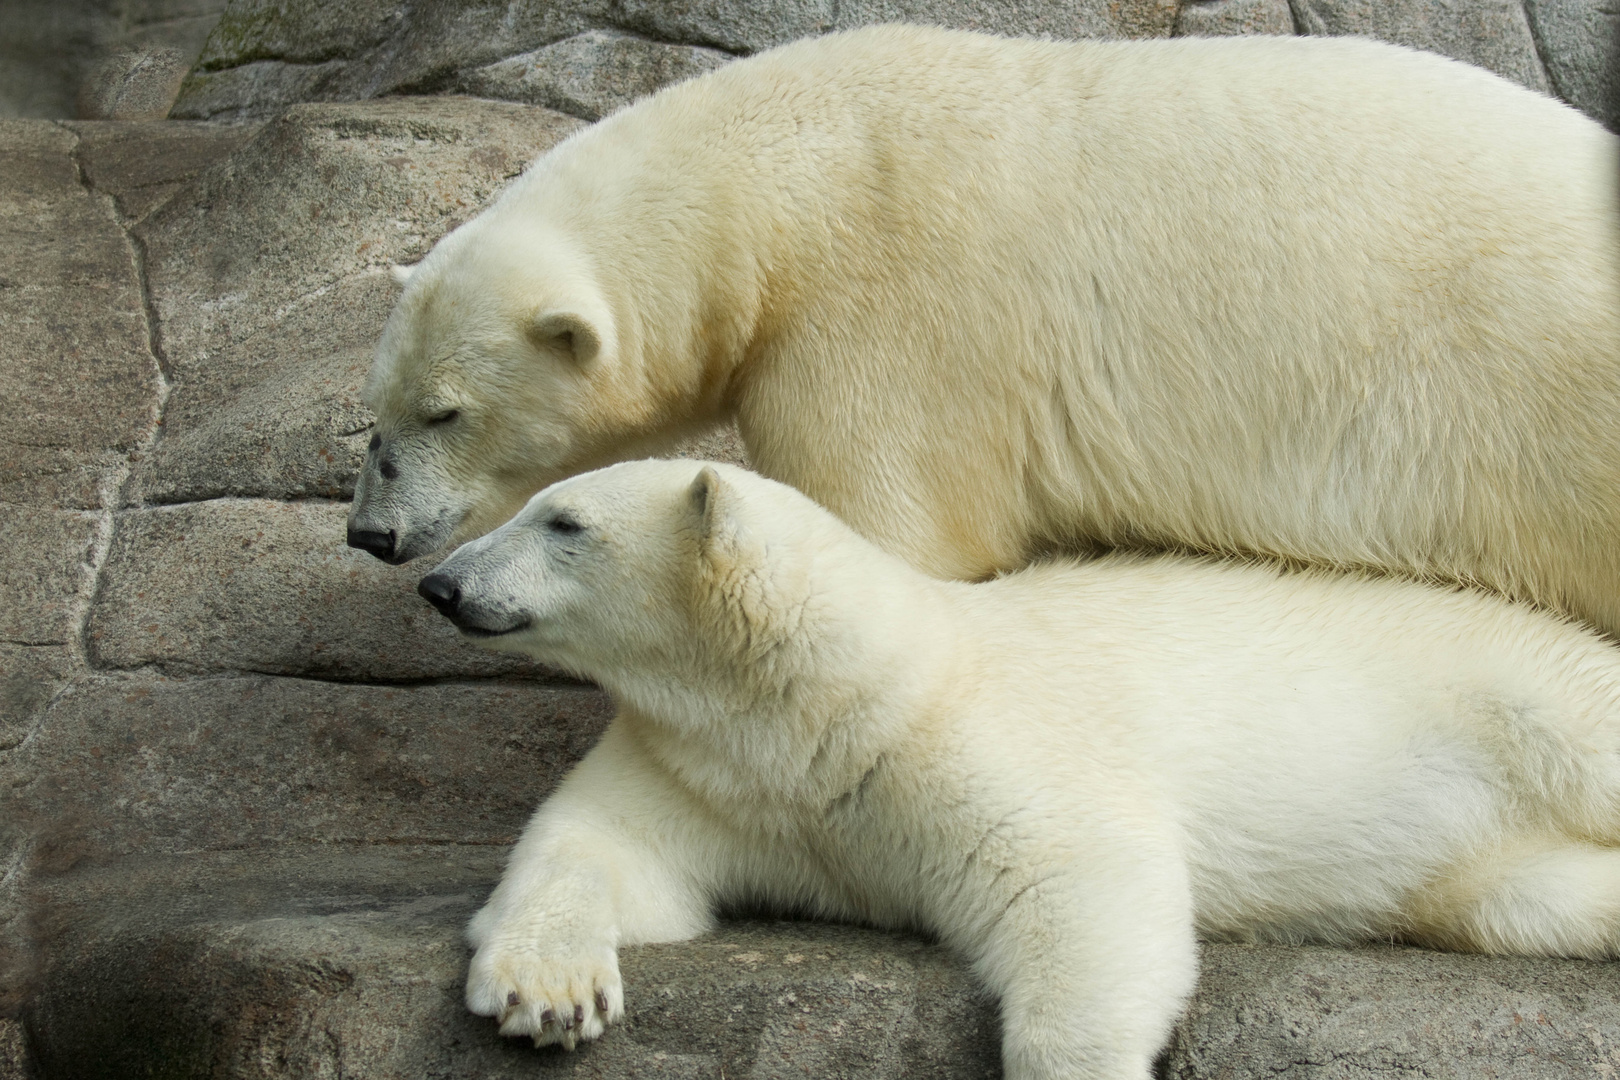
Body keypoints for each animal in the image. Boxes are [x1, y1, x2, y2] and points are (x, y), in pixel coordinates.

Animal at [351, 25, 1620, 637]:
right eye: (376, 412)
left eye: (444, 411)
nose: (369, 533)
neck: (778, 184)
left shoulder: (884, 312)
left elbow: (891, 528)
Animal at [421, 459, 1620, 1080]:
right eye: (535, 503)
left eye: (563, 520)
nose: (439, 582)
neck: (826, 703)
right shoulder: (711, 772)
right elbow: (602, 849)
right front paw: (549, 996)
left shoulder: (974, 734)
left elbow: (1081, 883)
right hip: (1474, 856)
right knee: (1526, 898)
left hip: (1509, 686)